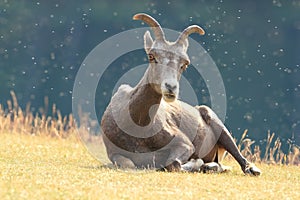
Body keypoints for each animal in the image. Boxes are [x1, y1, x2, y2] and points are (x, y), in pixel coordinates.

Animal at [101, 13, 260, 175]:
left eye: (185, 64)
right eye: (152, 56)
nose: (171, 87)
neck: (138, 129)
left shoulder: (184, 144)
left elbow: (174, 163)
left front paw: (196, 163)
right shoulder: (114, 153)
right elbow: (128, 164)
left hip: (219, 127)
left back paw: (250, 169)